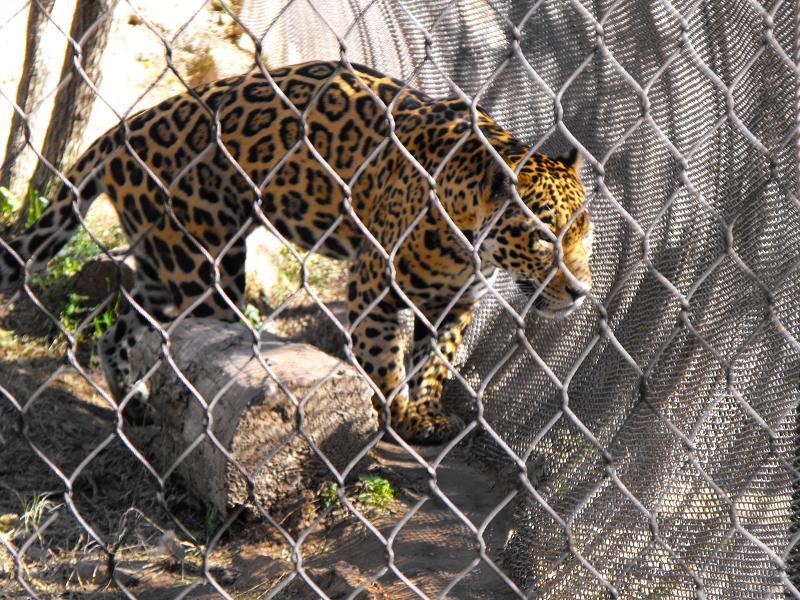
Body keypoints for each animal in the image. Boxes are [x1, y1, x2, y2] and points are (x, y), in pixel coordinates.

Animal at [0, 60, 592, 444]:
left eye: (585, 232)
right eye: (543, 234)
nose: (581, 290)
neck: (468, 233)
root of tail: (127, 128)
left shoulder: (454, 302)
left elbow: (435, 363)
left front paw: (423, 415)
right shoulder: (372, 286)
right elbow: (383, 358)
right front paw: (389, 413)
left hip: (163, 257)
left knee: (120, 330)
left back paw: (135, 405)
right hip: (205, 266)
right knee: (198, 341)